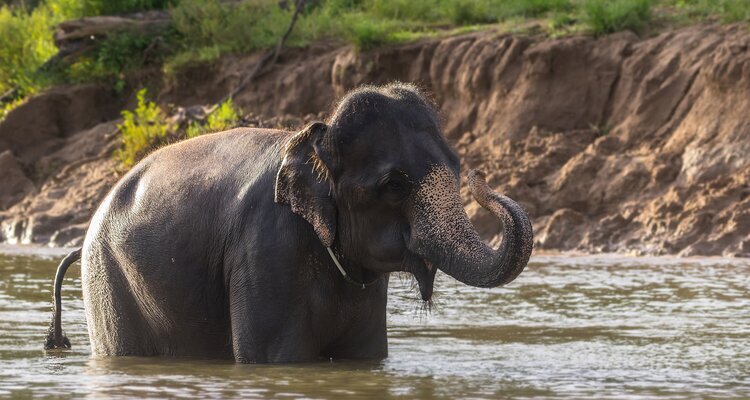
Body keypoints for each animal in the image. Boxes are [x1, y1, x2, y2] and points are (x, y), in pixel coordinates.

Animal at [45, 83, 533, 363]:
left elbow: (366, 356)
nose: (482, 181)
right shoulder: (265, 250)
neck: (313, 136)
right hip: (109, 286)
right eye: (394, 185)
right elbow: (276, 358)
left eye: (456, 168)